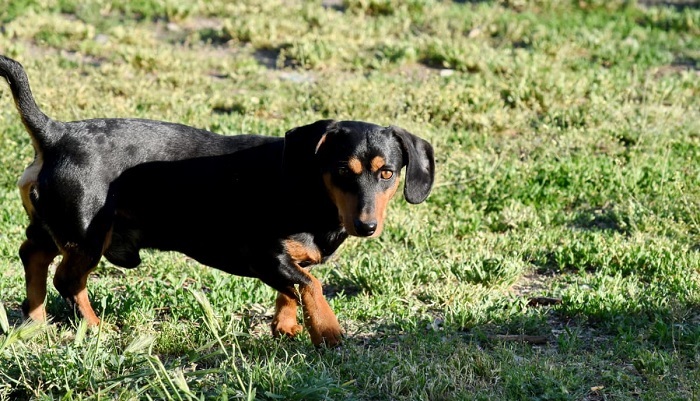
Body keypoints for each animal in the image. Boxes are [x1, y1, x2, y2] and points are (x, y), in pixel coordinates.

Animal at [0, 54, 434, 346]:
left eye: (387, 173)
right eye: (343, 171)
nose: (367, 226)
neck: (309, 189)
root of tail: (56, 134)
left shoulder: (284, 264)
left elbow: (291, 290)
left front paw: (286, 326)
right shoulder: (266, 255)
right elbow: (311, 284)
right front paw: (327, 330)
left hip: (54, 227)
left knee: (33, 256)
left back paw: (34, 318)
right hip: (87, 235)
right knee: (68, 280)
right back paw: (95, 326)